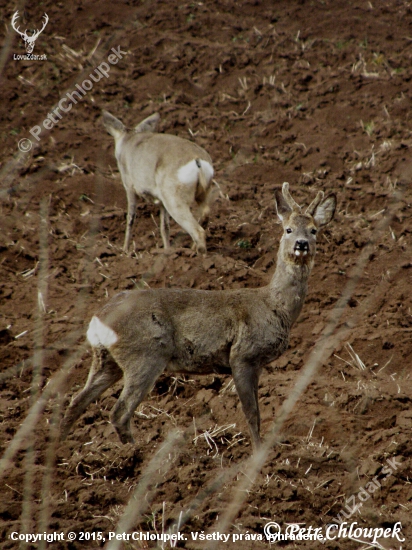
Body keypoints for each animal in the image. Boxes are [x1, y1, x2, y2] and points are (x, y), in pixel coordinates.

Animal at [60, 183, 334, 450]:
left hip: (107, 360)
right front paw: (259, 452)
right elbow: (251, 413)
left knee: (76, 401)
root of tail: (98, 319)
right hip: (146, 354)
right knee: (119, 412)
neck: (276, 306)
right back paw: (135, 453)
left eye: (314, 230)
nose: (301, 244)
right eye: (288, 229)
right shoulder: (243, 355)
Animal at [102, 112, 214, 254]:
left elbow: (130, 218)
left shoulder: (129, 187)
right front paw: (167, 250)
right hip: (201, 193)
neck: (128, 139)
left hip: (173, 197)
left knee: (198, 231)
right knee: (205, 215)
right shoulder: (161, 201)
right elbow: (164, 227)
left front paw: (125, 250)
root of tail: (198, 160)